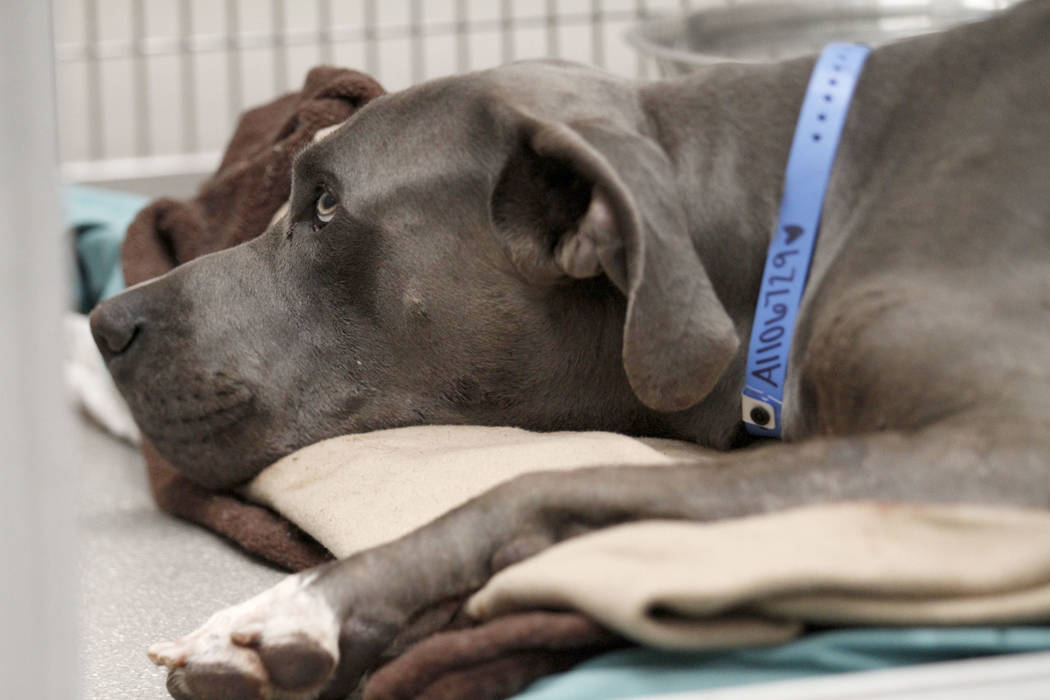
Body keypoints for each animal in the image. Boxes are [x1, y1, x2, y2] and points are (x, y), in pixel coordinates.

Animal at [92, 2, 1050, 696]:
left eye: (325, 205)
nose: (106, 323)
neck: (786, 215)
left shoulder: (1005, 452)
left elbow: (542, 484)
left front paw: (300, 610)